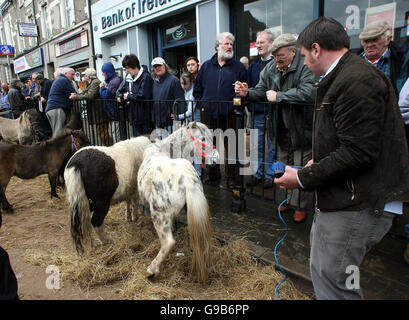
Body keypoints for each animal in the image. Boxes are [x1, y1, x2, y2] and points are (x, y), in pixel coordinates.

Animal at [63, 121, 217, 282]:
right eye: (203, 139)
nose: (215, 160)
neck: (159, 149)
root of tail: (76, 164)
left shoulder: (131, 191)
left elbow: (130, 203)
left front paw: (130, 217)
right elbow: (133, 203)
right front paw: (133, 218)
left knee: (85, 223)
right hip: (104, 204)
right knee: (96, 222)